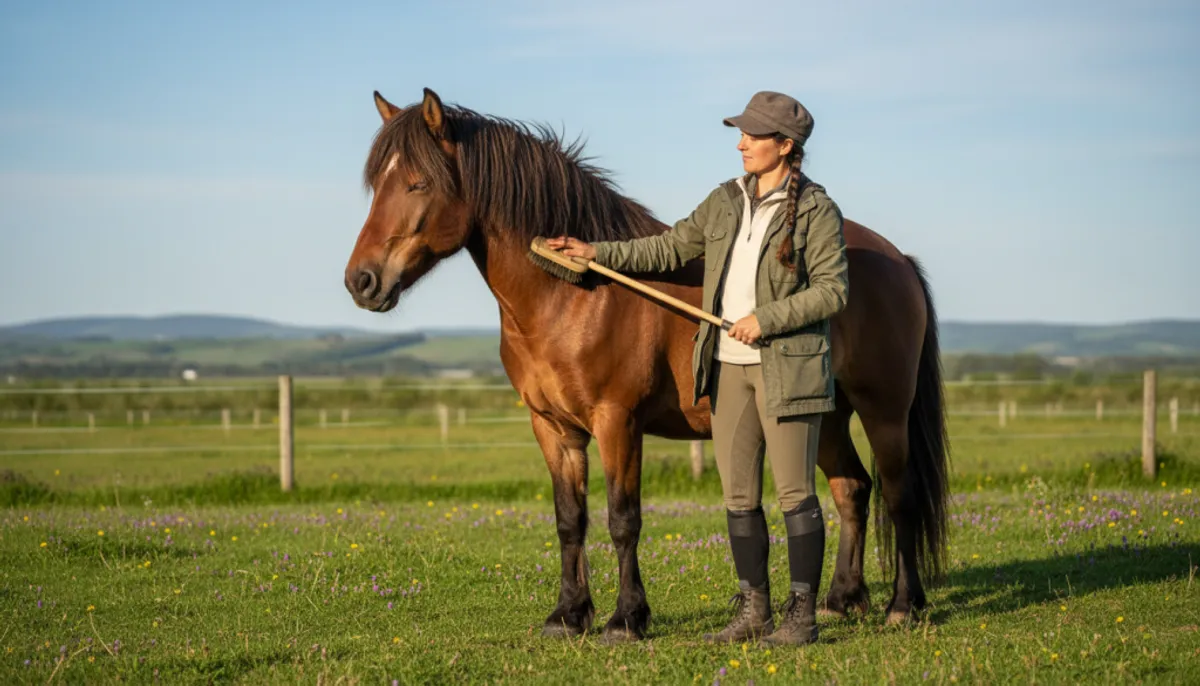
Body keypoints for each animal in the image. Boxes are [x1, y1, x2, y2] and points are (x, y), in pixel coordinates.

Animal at [344, 87, 950, 643]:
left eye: (418, 183)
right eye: (378, 185)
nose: (361, 281)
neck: (573, 296)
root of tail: (896, 259)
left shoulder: (618, 421)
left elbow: (622, 519)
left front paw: (625, 619)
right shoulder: (553, 428)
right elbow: (570, 520)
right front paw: (568, 616)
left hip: (882, 411)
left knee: (899, 495)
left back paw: (903, 605)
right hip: (818, 414)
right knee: (852, 489)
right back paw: (841, 600)